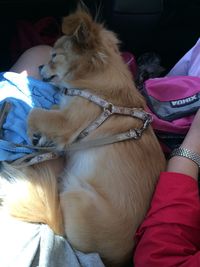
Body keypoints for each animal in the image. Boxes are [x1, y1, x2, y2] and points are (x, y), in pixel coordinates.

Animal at [2, 8, 166, 267]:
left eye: (54, 56)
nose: (39, 65)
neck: (97, 88)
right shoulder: (63, 111)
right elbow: (49, 108)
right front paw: (41, 136)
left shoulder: (68, 121)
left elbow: (34, 113)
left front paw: (32, 134)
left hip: (75, 196)